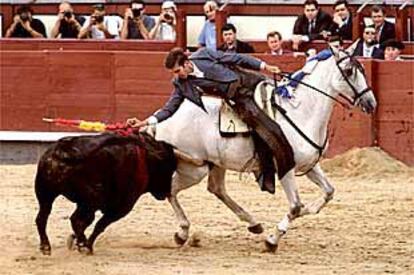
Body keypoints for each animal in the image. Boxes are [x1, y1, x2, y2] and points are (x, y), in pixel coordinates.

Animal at [35, 133, 176, 256]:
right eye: (168, 168)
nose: (167, 192)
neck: (145, 159)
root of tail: (63, 151)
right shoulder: (121, 208)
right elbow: (100, 225)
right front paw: (86, 245)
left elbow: (88, 223)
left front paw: (75, 241)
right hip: (91, 200)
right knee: (75, 220)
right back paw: (83, 245)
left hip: (46, 194)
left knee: (42, 218)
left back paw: (46, 246)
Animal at [154, 47, 376, 252]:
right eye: (348, 71)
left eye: (362, 69)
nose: (371, 103)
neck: (301, 111)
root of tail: (160, 123)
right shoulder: (285, 165)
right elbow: (295, 206)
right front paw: (272, 240)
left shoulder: (310, 165)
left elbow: (329, 191)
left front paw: (310, 210)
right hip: (194, 167)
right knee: (172, 189)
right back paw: (183, 232)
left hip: (216, 163)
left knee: (215, 189)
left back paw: (252, 223)